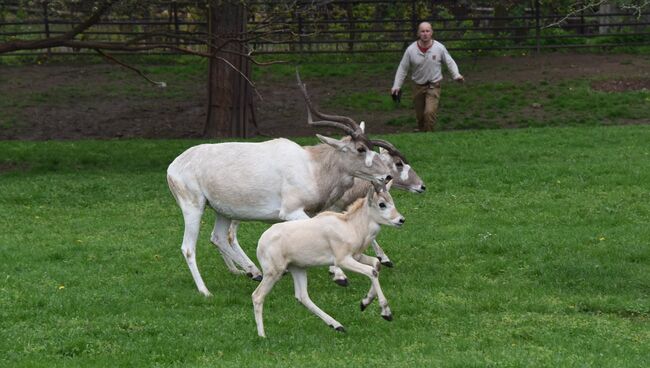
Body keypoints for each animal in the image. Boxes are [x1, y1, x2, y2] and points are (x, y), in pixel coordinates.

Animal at [167, 73, 390, 298]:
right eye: (360, 149)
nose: (387, 175)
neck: (313, 165)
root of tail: (174, 165)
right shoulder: (292, 212)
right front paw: (339, 276)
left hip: (223, 211)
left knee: (219, 238)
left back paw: (253, 272)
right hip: (193, 207)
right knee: (188, 247)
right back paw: (205, 290)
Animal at [251, 183, 402, 338]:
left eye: (391, 200)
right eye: (382, 204)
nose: (401, 220)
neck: (350, 225)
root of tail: (261, 243)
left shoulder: (357, 256)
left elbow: (376, 264)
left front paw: (364, 302)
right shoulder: (342, 260)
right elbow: (371, 271)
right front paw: (386, 313)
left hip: (298, 268)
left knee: (302, 296)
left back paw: (337, 326)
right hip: (274, 272)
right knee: (257, 296)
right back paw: (262, 335)